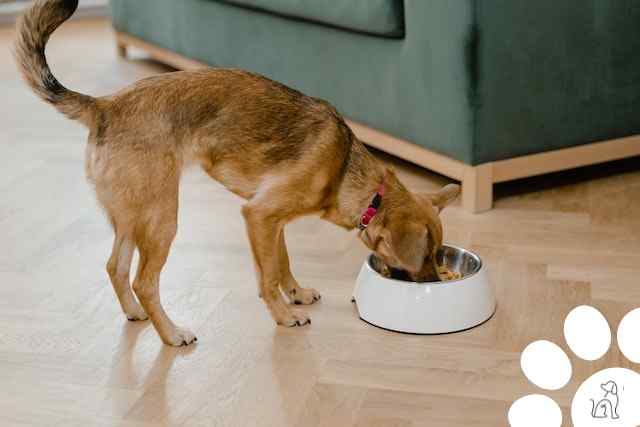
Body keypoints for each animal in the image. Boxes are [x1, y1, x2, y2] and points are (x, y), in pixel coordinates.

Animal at [12, 0, 458, 346]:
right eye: (426, 256)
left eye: (439, 254)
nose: (435, 283)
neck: (348, 170)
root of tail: (104, 105)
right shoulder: (259, 215)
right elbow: (266, 277)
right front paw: (284, 315)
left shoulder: (271, 220)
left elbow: (281, 262)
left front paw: (296, 293)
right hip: (162, 217)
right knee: (144, 280)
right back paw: (171, 334)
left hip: (131, 216)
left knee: (115, 267)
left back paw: (136, 313)